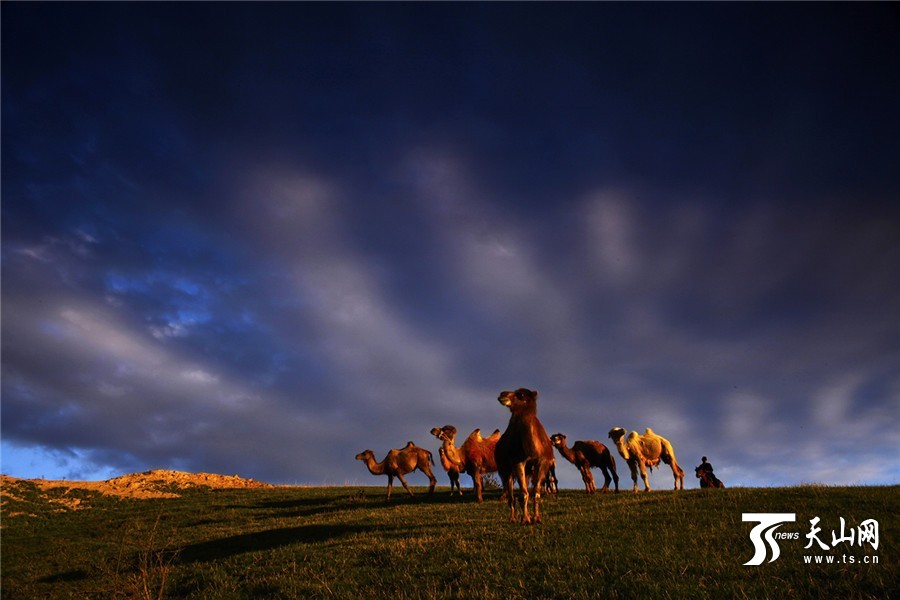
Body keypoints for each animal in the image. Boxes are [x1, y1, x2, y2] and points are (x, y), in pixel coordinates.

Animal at [492, 390, 556, 524]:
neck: (533, 451)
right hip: (505, 470)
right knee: (511, 494)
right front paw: (525, 519)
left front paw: (536, 518)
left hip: (527, 472)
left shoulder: (543, 462)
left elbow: (536, 493)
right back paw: (512, 518)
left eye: (520, 395)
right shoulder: (518, 461)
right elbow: (523, 494)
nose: (502, 394)